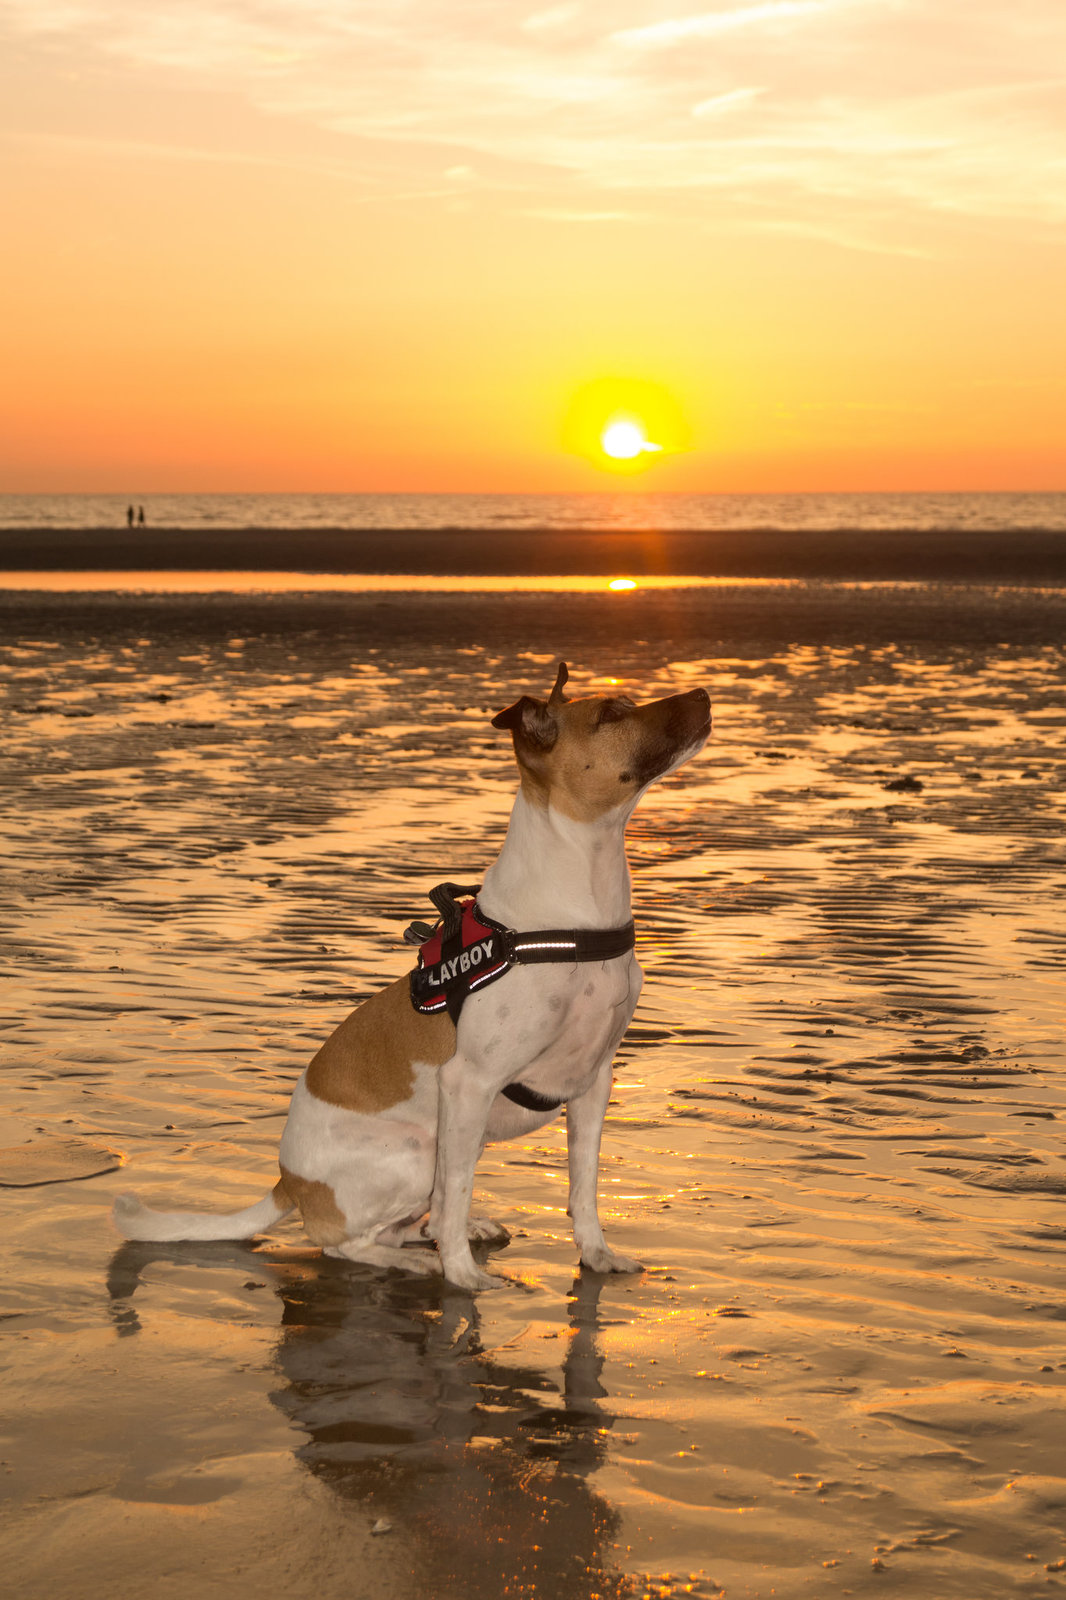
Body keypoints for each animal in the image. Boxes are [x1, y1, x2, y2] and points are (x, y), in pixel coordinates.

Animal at [112, 656, 710, 1292]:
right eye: (612, 713)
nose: (704, 692)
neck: (576, 908)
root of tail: (287, 1183)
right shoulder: (469, 1084)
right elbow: (457, 1191)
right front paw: (463, 1276)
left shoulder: (594, 1081)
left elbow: (585, 1186)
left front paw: (595, 1254)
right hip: (418, 1149)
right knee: (350, 1241)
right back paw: (420, 1257)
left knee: (414, 1219)